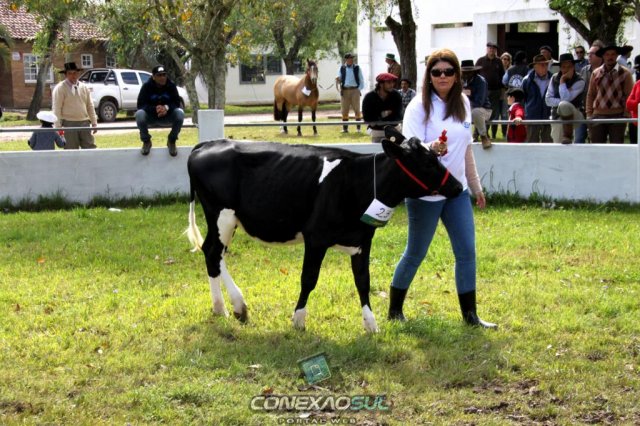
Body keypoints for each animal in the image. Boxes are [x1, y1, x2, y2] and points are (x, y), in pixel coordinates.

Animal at [186, 127, 463, 332]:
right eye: (427, 162)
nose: (458, 187)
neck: (357, 183)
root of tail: (206, 144)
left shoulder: (363, 239)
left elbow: (363, 281)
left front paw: (371, 324)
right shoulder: (316, 238)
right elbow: (308, 278)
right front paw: (298, 320)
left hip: (226, 219)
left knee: (212, 252)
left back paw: (226, 307)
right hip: (220, 213)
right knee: (214, 252)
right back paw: (232, 306)